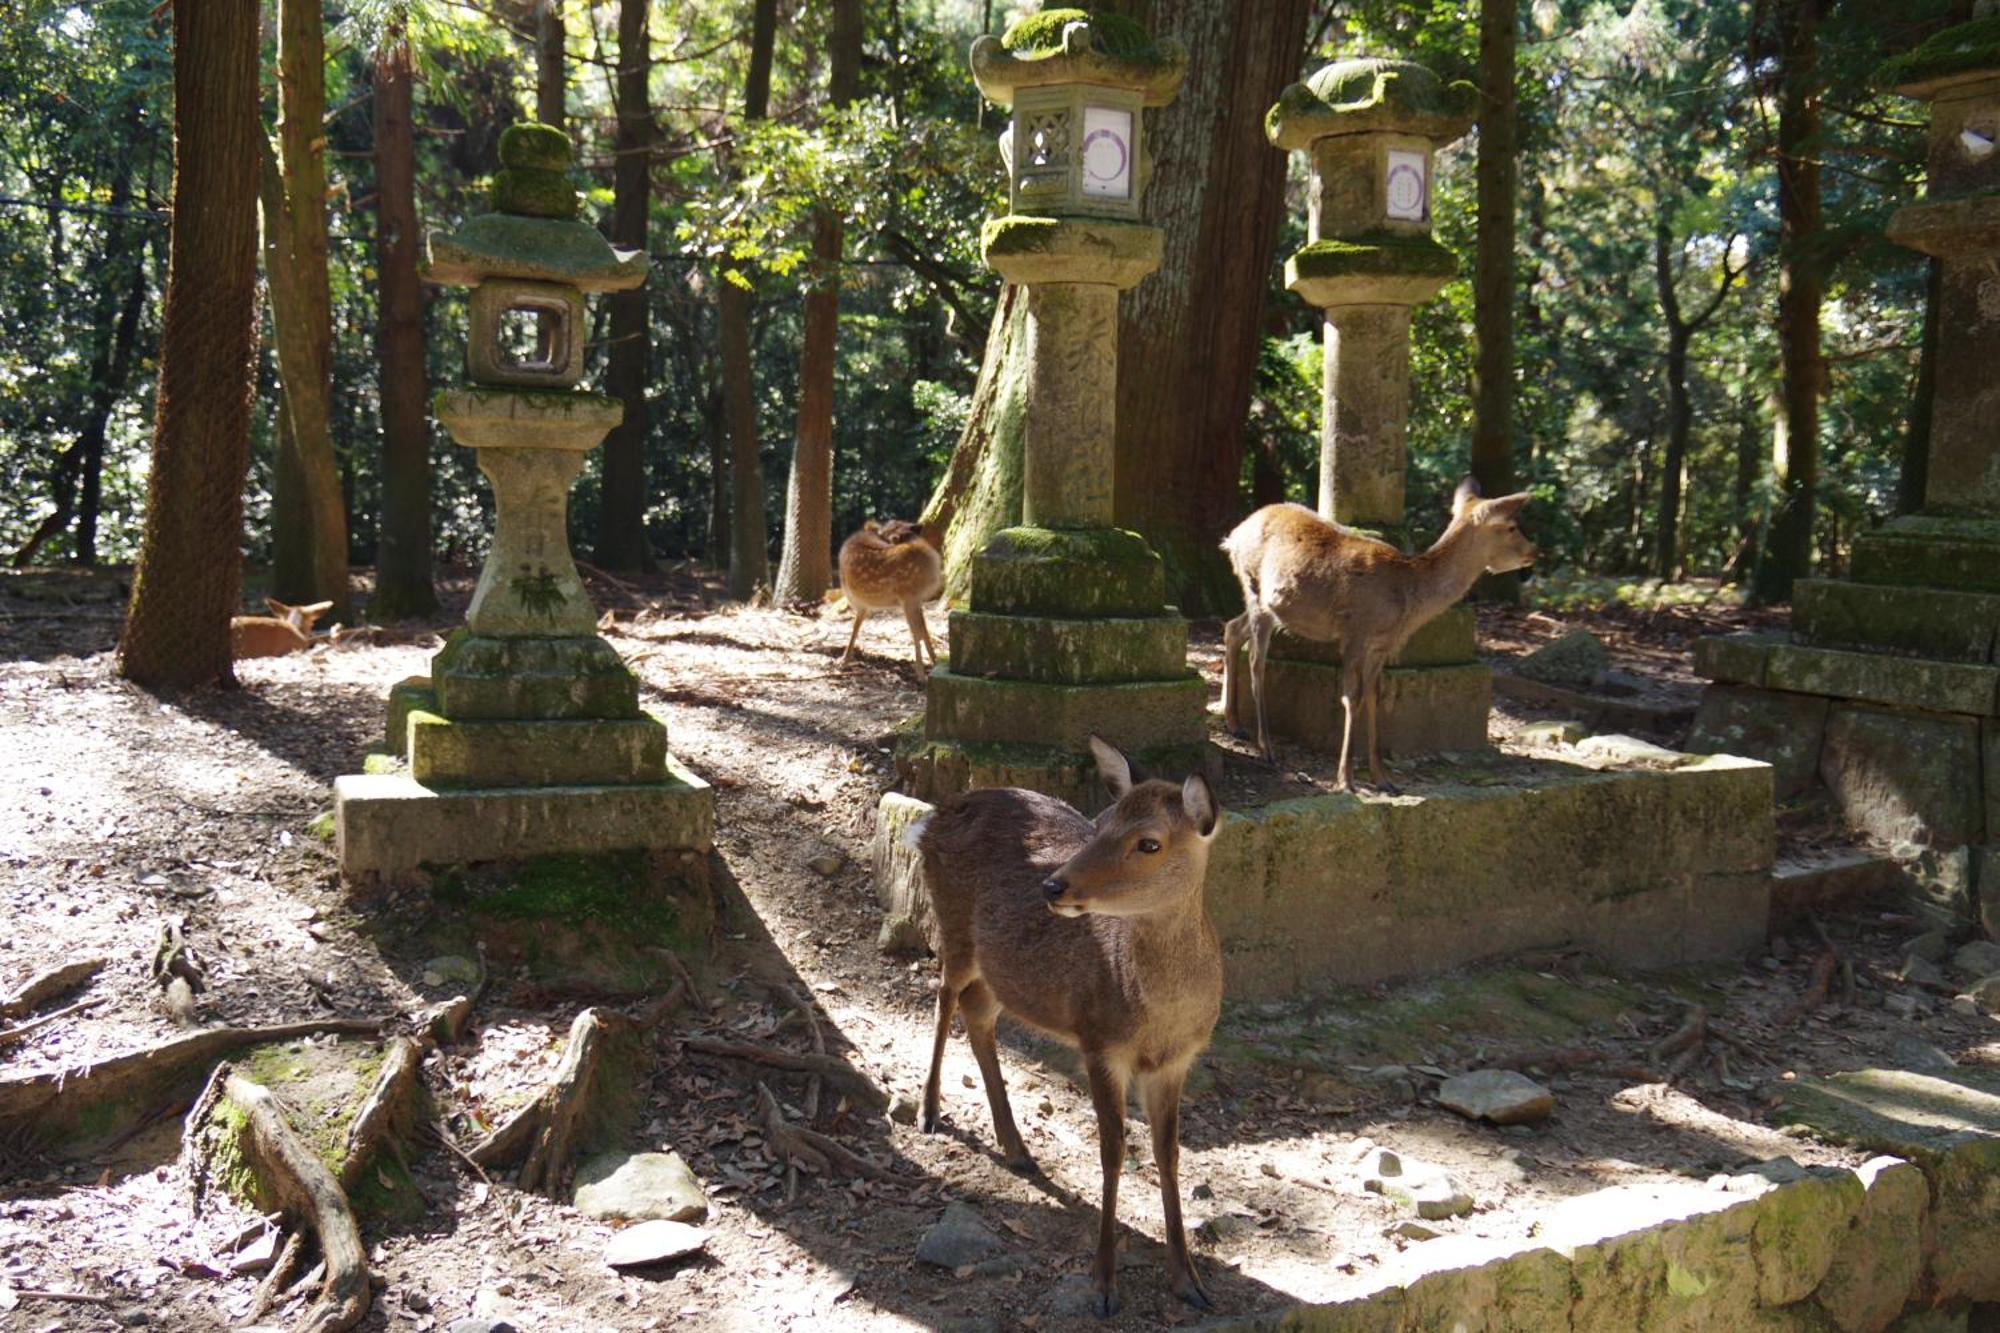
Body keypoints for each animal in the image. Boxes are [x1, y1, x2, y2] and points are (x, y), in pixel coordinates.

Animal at [836, 516, 944, 680]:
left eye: (885, 534)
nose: (917, 525)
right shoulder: (912, 598)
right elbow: (922, 631)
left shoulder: (910, 598)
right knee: (919, 630)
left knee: (916, 631)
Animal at [916, 736, 1224, 1320]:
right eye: (1100, 822)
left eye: (1149, 843)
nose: (1054, 884)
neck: (1159, 1021)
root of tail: (932, 816)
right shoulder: (1099, 1041)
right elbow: (1112, 1151)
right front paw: (1103, 1284)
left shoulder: (1178, 1061)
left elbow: (1169, 1154)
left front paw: (1190, 1280)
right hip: (954, 924)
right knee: (944, 995)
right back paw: (929, 1111)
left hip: (1000, 968)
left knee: (977, 1010)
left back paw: (1016, 1147)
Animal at [1216, 478, 1528, 788]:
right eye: (1511, 527)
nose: (1534, 552)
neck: (1407, 599)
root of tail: (1232, 536)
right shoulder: (1355, 632)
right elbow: (1352, 697)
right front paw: (1346, 779)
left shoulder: (1382, 645)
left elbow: (1374, 697)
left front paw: (1382, 778)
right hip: (1255, 590)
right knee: (1256, 662)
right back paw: (1266, 748)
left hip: (1267, 606)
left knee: (1232, 628)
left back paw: (1234, 723)